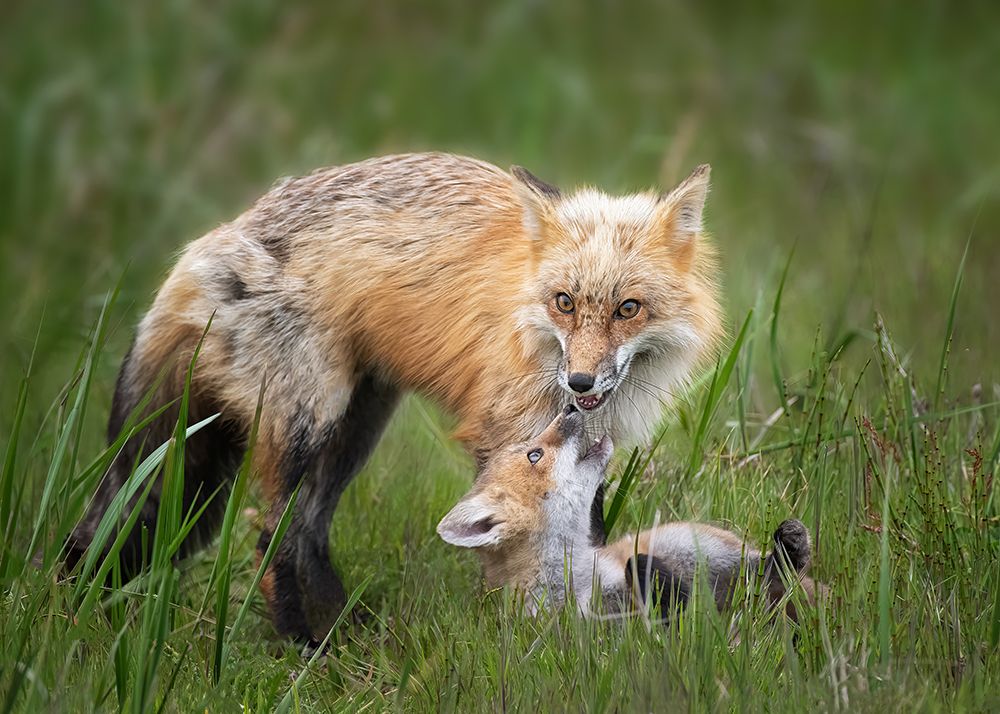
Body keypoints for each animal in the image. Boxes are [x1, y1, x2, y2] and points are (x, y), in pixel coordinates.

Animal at [65, 152, 723, 644]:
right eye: (564, 302)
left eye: (628, 308)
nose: (579, 384)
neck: (529, 326)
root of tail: (216, 238)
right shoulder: (508, 435)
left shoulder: (582, 445)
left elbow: (588, 525)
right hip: (307, 422)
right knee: (269, 539)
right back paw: (303, 646)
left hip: (355, 431)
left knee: (308, 533)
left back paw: (348, 628)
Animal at [437, 405, 823, 623]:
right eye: (534, 455)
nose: (571, 405)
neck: (579, 578)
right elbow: (666, 608)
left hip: (700, 547)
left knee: (768, 572)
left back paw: (788, 548)